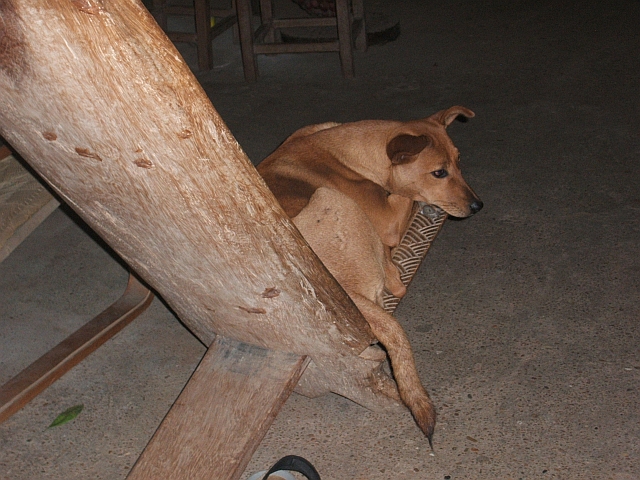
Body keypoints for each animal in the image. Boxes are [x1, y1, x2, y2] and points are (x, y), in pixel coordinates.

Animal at [258, 107, 482, 444]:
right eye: (439, 173)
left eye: (459, 161)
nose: (477, 205)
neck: (347, 154)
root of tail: (340, 291)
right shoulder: (389, 219)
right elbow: (406, 193)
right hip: (332, 198)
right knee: (395, 283)